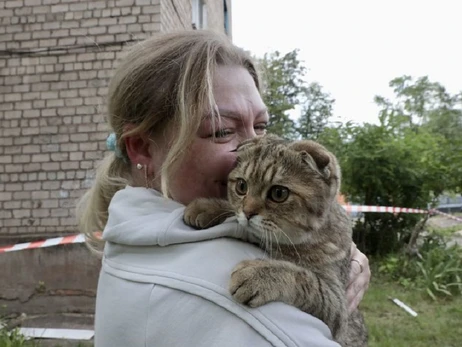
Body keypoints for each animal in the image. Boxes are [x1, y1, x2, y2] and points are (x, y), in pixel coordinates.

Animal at [184, 135, 368, 346]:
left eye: (279, 193)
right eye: (241, 186)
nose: (247, 212)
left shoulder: (338, 306)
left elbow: (306, 279)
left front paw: (260, 275)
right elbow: (233, 210)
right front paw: (208, 207)